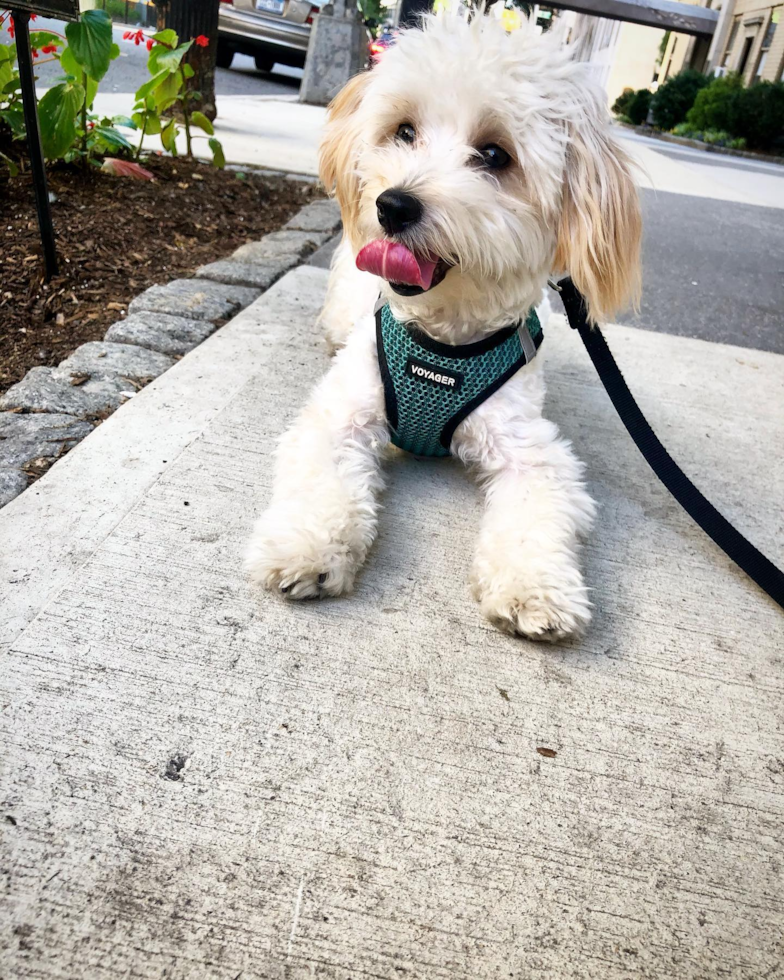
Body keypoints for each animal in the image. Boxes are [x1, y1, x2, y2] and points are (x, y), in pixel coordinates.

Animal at [247, 11, 644, 640]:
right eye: (404, 130)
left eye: (495, 155)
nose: (393, 205)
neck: (439, 342)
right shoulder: (340, 419)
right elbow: (323, 477)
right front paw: (306, 548)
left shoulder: (531, 449)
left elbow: (538, 507)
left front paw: (535, 587)